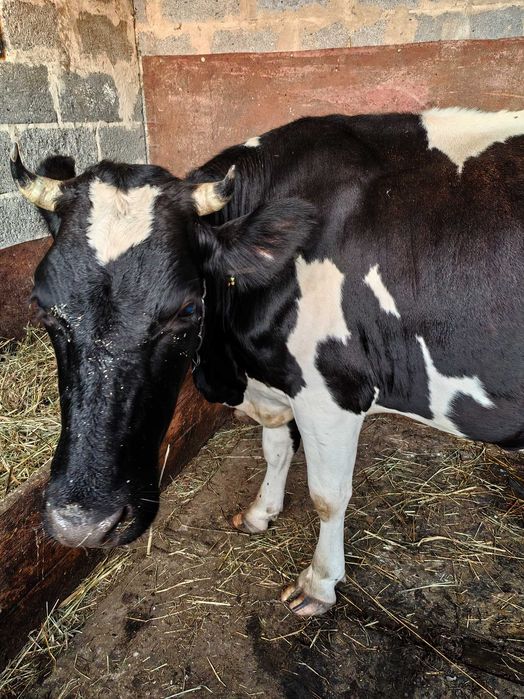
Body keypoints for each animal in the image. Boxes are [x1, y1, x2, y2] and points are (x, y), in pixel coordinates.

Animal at [11, 108, 524, 616]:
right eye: (41, 306)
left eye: (187, 309)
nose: (83, 523)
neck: (235, 367)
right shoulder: (276, 385)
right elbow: (275, 449)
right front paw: (261, 512)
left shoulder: (331, 395)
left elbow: (328, 495)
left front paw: (318, 584)